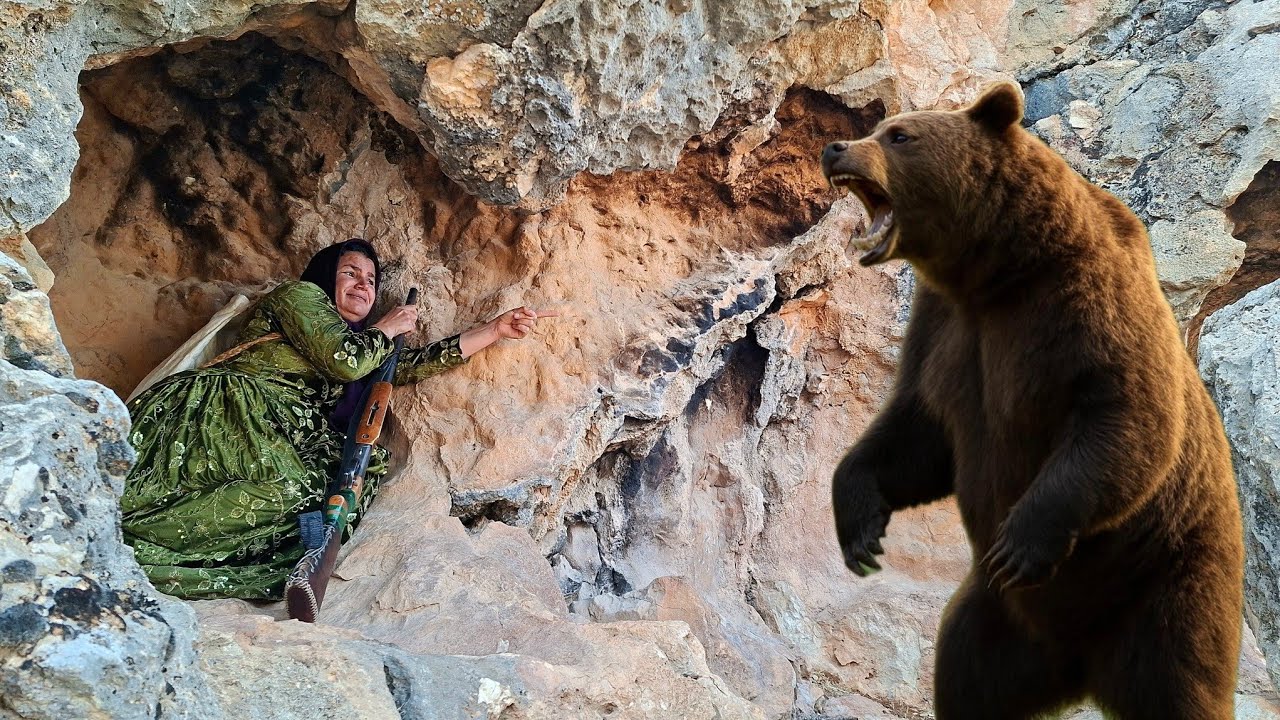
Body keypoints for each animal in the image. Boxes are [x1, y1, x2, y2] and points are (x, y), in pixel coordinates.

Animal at [820, 82, 1244, 720]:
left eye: (900, 135)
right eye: (879, 127)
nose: (835, 148)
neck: (997, 271)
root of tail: (1080, 669)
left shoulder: (1084, 304)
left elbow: (1127, 415)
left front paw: (1022, 540)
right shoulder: (945, 330)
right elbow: (918, 431)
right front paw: (861, 526)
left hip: (1167, 585)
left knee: (1179, 683)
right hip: (992, 624)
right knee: (965, 679)